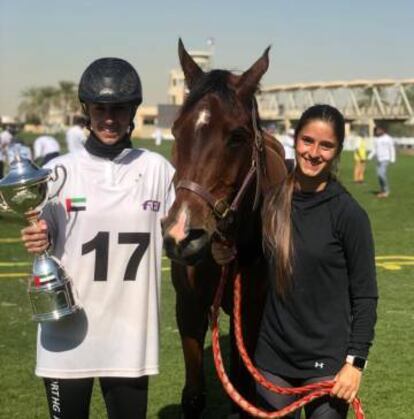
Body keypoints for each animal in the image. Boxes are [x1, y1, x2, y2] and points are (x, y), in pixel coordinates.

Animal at [162, 40, 288, 419]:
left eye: (237, 136)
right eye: (176, 130)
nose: (182, 235)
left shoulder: (252, 310)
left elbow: (244, 393)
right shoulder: (188, 307)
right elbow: (193, 396)